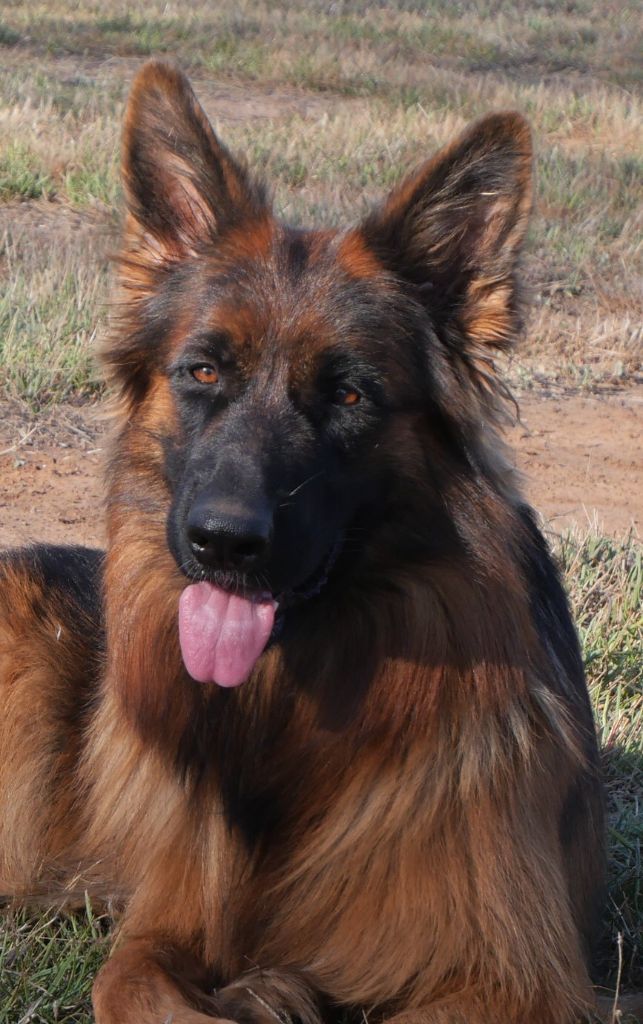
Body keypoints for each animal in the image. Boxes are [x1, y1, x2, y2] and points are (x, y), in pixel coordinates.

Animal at [1, 61, 606, 1024]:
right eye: (203, 371)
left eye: (350, 395)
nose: (222, 543)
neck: (290, 719)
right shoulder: (159, 927)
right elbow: (130, 983)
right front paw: (261, 991)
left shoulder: (509, 979)